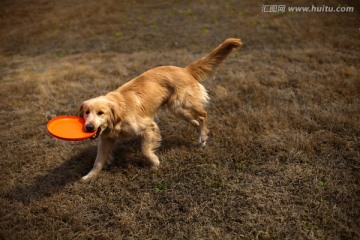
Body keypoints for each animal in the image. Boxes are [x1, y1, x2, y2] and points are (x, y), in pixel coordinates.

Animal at [79, 38, 242, 180]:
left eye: (101, 113)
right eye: (86, 113)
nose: (89, 127)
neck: (118, 116)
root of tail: (185, 69)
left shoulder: (147, 127)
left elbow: (145, 150)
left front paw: (155, 163)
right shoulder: (106, 139)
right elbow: (98, 161)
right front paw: (89, 177)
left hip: (181, 105)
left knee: (203, 115)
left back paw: (202, 138)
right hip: (179, 111)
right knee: (196, 120)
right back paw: (200, 134)